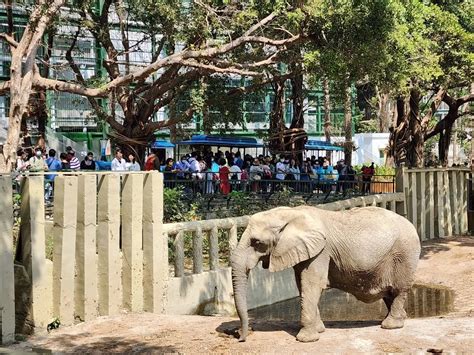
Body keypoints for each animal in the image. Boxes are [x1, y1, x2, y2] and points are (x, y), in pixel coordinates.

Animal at [231, 206, 420, 342]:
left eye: (256, 242)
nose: (240, 337)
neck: (291, 213)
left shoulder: (321, 251)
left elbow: (312, 284)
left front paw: (306, 339)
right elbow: (302, 284)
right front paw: (320, 330)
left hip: (404, 254)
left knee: (399, 290)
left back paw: (390, 325)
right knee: (389, 293)